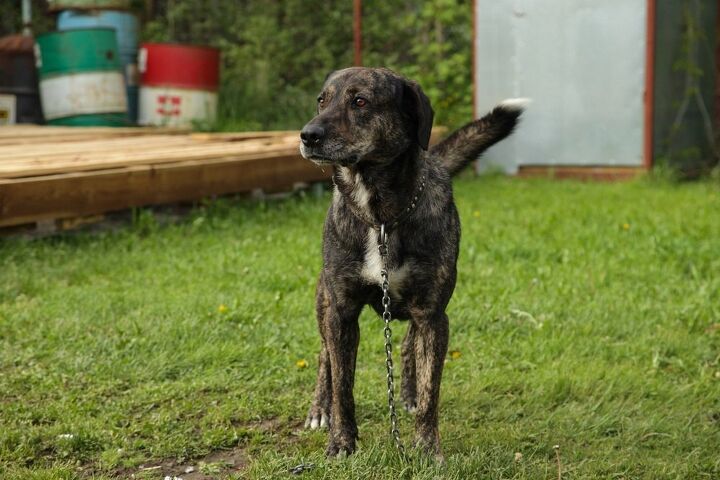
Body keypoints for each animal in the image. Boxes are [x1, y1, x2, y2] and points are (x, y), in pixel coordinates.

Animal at [298, 66, 524, 458]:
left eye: (360, 101)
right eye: (321, 101)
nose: (308, 135)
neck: (380, 216)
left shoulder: (433, 314)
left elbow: (431, 388)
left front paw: (427, 448)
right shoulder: (341, 310)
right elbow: (343, 385)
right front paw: (341, 442)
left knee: (407, 346)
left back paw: (408, 394)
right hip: (324, 299)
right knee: (325, 356)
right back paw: (319, 409)